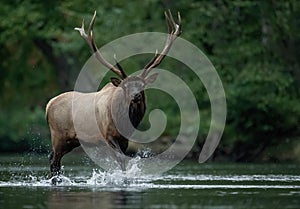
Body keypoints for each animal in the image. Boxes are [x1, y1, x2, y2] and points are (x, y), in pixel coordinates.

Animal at [44, 10, 180, 177]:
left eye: (142, 85)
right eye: (125, 86)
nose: (136, 96)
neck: (126, 122)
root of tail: (48, 105)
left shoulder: (125, 140)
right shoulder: (108, 136)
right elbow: (121, 162)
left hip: (71, 141)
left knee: (53, 159)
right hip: (58, 135)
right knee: (54, 161)